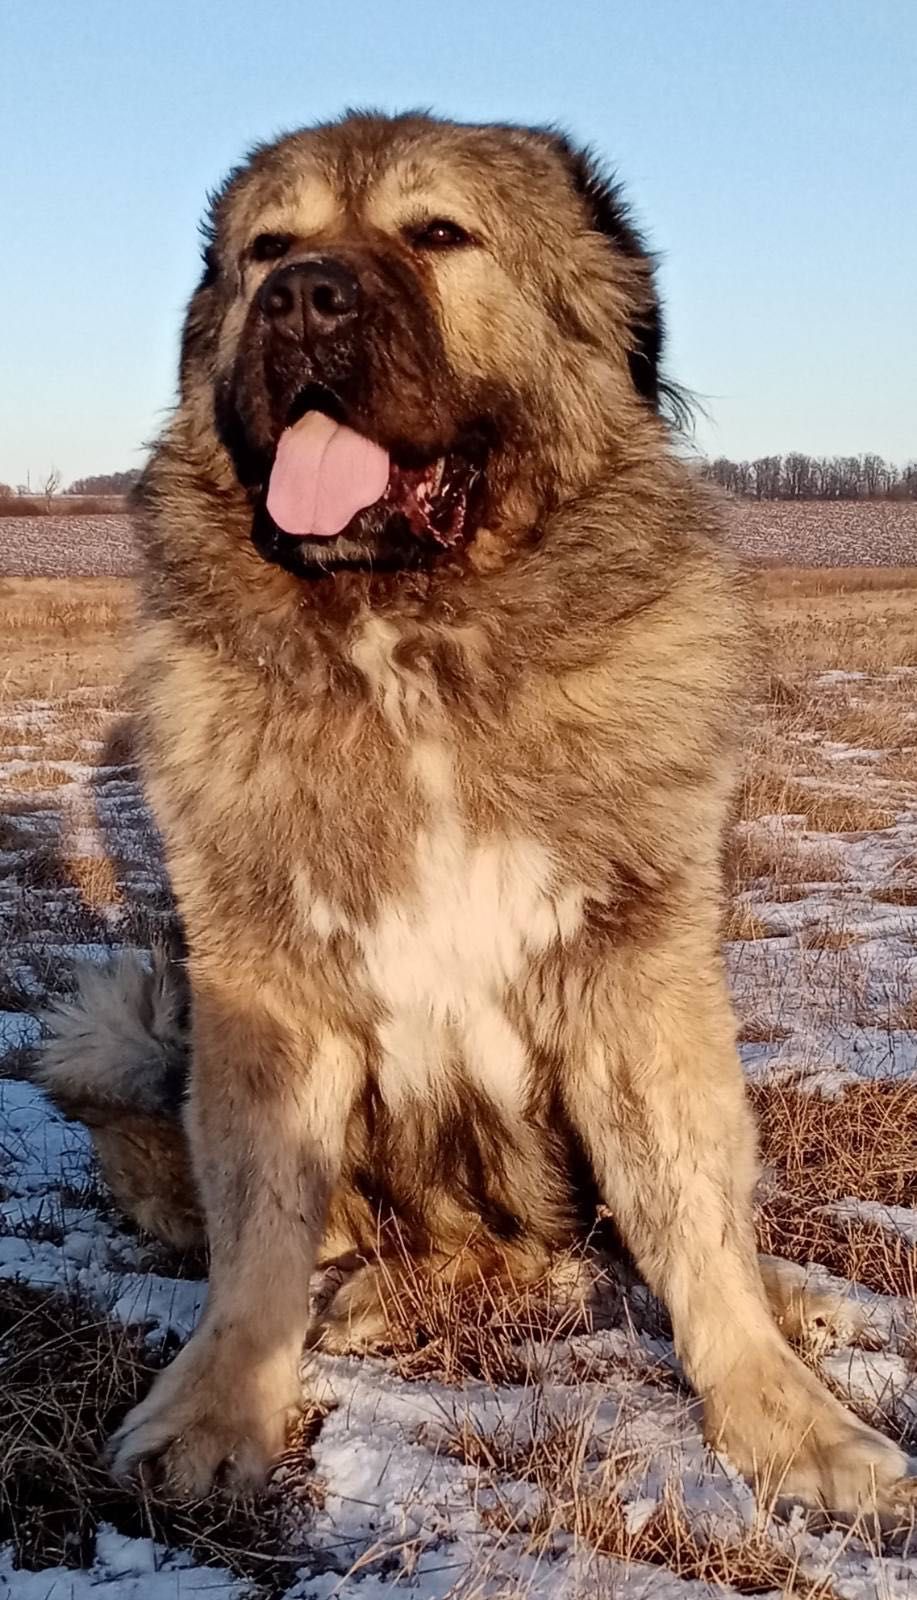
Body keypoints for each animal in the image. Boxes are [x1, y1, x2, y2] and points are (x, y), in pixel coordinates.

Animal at [37, 109, 915, 1510]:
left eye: (438, 233)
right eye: (266, 249)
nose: (300, 296)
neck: (418, 650)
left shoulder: (637, 972)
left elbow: (691, 1218)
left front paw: (785, 1418)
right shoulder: (264, 982)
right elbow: (262, 1228)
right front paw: (219, 1404)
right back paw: (373, 1298)